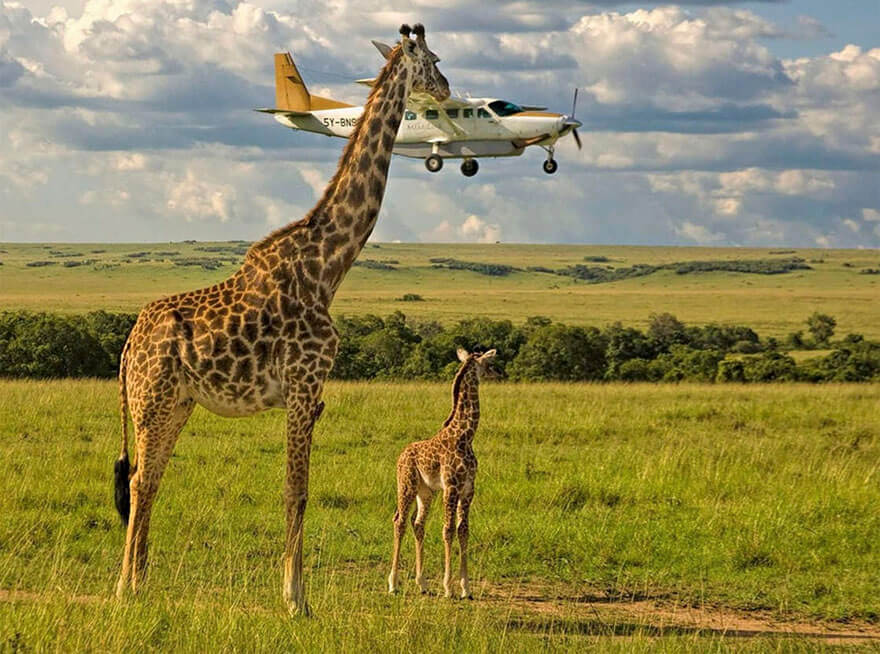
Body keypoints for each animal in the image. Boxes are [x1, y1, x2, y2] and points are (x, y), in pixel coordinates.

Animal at [113, 23, 450, 616]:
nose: (449, 88)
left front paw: (293, 594)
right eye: (431, 59)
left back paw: (139, 583)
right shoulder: (302, 383)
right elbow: (298, 490)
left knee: (147, 480)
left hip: (176, 403)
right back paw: (127, 588)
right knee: (137, 482)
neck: (329, 265)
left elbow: (297, 489)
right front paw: (296, 600)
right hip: (150, 400)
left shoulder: (311, 393)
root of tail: (130, 344)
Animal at [386, 348, 496, 600]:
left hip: (426, 492)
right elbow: (448, 530)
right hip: (406, 485)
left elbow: (463, 530)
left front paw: (466, 588)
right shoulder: (451, 487)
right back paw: (393, 584)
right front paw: (448, 587)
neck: (465, 436)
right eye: (488, 363)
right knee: (400, 521)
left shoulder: (468, 489)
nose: (498, 373)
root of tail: (400, 456)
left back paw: (422, 584)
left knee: (418, 524)